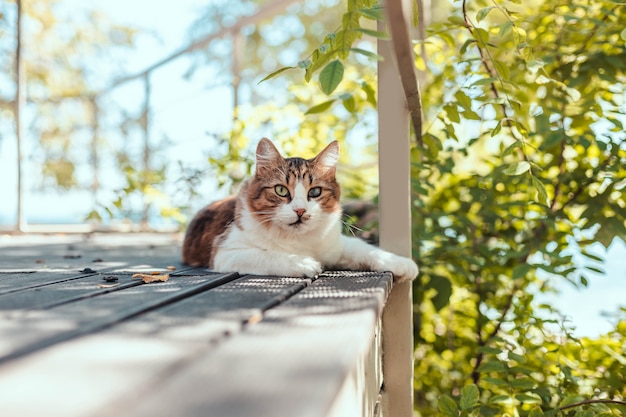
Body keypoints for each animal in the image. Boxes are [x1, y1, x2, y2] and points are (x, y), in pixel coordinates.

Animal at [180, 138, 416, 282]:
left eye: (315, 192)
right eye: (281, 190)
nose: (300, 210)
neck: (301, 241)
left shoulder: (337, 246)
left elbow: (365, 249)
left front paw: (402, 263)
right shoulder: (226, 251)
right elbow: (268, 255)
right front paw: (302, 263)